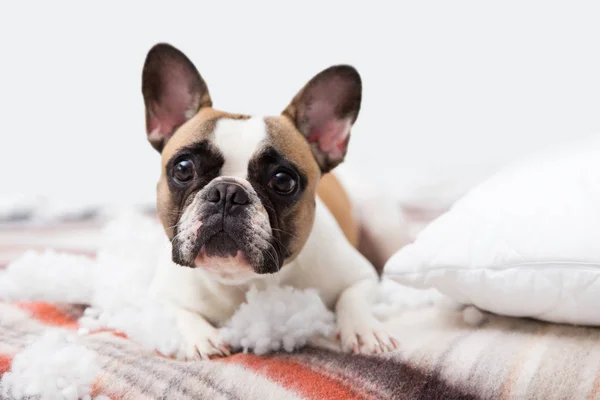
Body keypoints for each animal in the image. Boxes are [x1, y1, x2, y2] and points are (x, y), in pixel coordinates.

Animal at [142, 43, 396, 360]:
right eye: (183, 168)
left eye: (283, 180)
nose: (227, 192)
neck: (241, 282)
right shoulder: (158, 294)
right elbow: (179, 312)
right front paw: (202, 338)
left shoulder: (361, 275)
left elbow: (353, 297)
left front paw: (364, 330)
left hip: (384, 226)